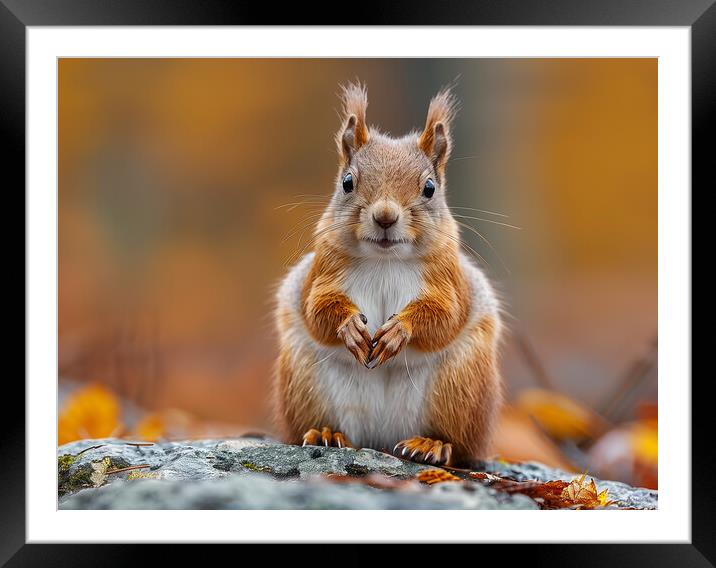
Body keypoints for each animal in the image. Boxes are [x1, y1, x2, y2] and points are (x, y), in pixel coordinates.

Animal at [274, 83, 504, 466]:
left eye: (429, 188)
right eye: (347, 182)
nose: (385, 216)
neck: (385, 260)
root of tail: (381, 439)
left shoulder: (448, 280)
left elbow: (445, 315)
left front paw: (400, 329)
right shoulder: (322, 272)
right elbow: (317, 308)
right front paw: (349, 326)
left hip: (461, 385)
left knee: (458, 444)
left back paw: (430, 444)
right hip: (304, 382)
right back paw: (326, 434)